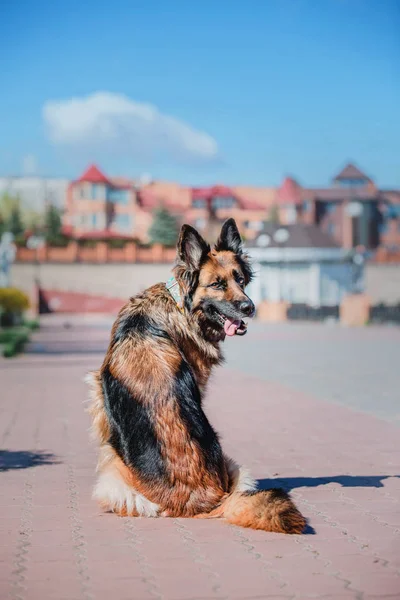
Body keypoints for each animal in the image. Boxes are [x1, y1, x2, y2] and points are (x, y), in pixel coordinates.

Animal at [87, 218, 306, 532]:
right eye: (217, 284)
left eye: (241, 280)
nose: (250, 307)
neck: (179, 302)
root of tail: (205, 502)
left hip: (114, 472)